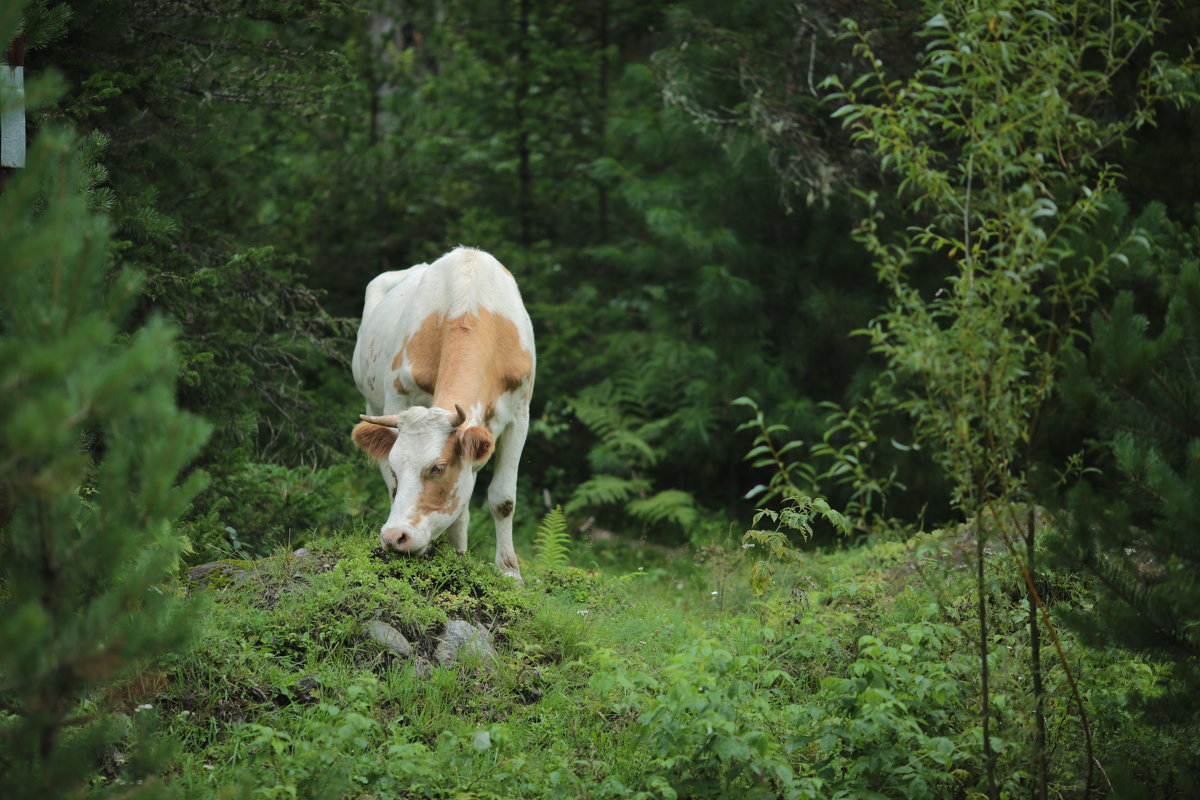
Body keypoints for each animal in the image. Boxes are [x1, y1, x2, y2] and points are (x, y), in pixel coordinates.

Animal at [348, 245, 535, 582]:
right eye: (395, 466)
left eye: (437, 467)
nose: (395, 537)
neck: (471, 307)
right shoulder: (396, 401)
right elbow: (397, 488)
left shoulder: (519, 416)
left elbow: (503, 499)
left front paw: (509, 573)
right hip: (372, 404)